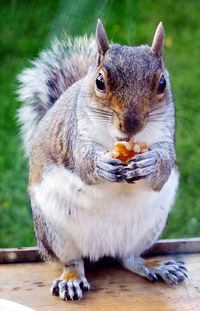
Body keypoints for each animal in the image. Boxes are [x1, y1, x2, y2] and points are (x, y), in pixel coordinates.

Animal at [17, 19, 188, 302]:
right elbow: (83, 164)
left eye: (163, 83)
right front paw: (101, 165)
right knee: (73, 261)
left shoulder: (167, 136)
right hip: (55, 231)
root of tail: (102, 249)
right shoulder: (75, 136)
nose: (131, 125)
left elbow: (163, 169)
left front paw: (152, 162)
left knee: (128, 258)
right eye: (100, 81)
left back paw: (155, 266)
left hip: (148, 229)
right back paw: (72, 279)